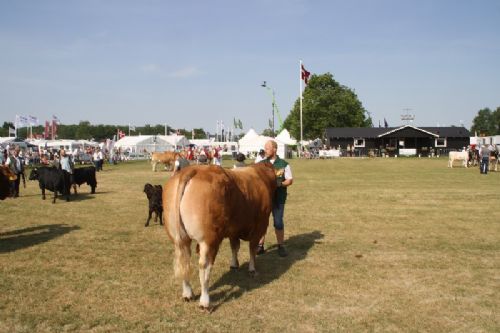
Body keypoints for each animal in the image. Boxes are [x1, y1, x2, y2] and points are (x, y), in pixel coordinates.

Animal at [162, 162, 276, 308]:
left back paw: (188, 294)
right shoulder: (259, 226)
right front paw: (252, 269)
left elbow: (235, 246)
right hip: (209, 239)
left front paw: (234, 265)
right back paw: (205, 301)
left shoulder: (234, 230)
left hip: (179, 238)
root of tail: (191, 170)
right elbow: (252, 249)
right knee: (204, 266)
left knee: (185, 261)